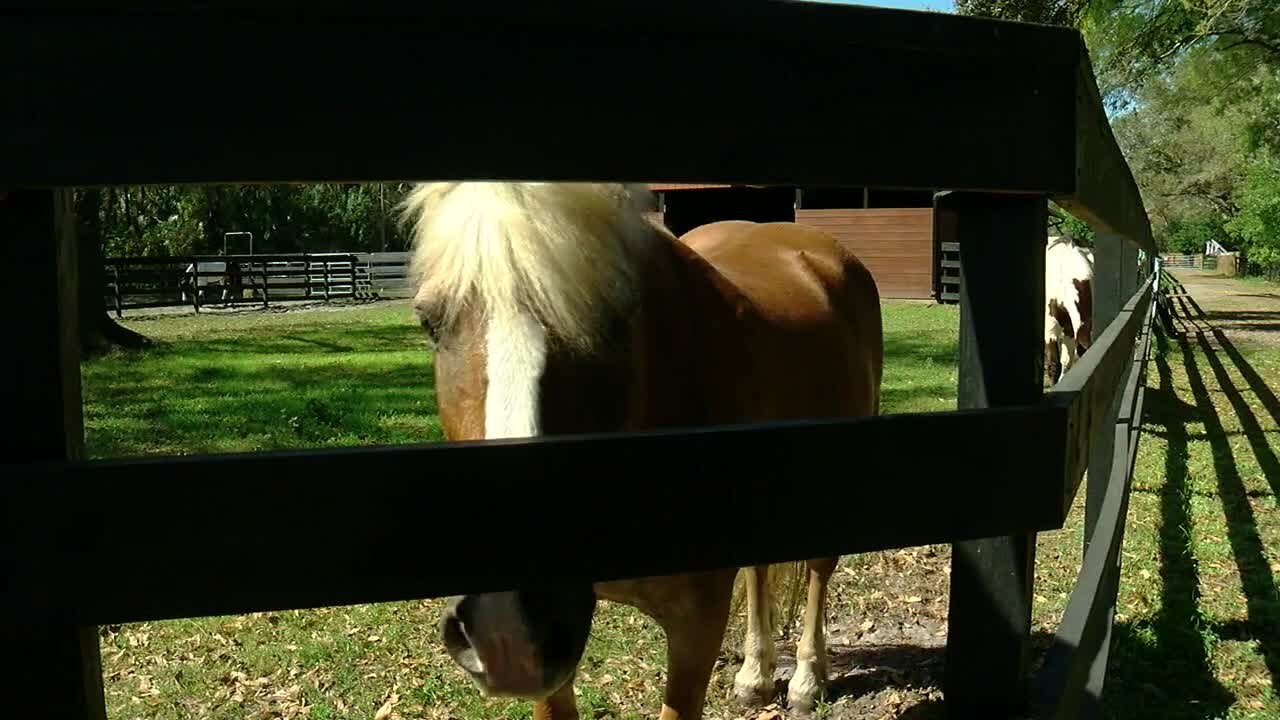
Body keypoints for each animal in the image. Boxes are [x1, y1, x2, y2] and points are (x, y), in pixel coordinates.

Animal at [396, 180, 880, 720]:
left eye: (611, 320)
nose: (508, 630)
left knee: (818, 571)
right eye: (429, 322)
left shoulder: (696, 624)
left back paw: (805, 681)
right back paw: (755, 676)